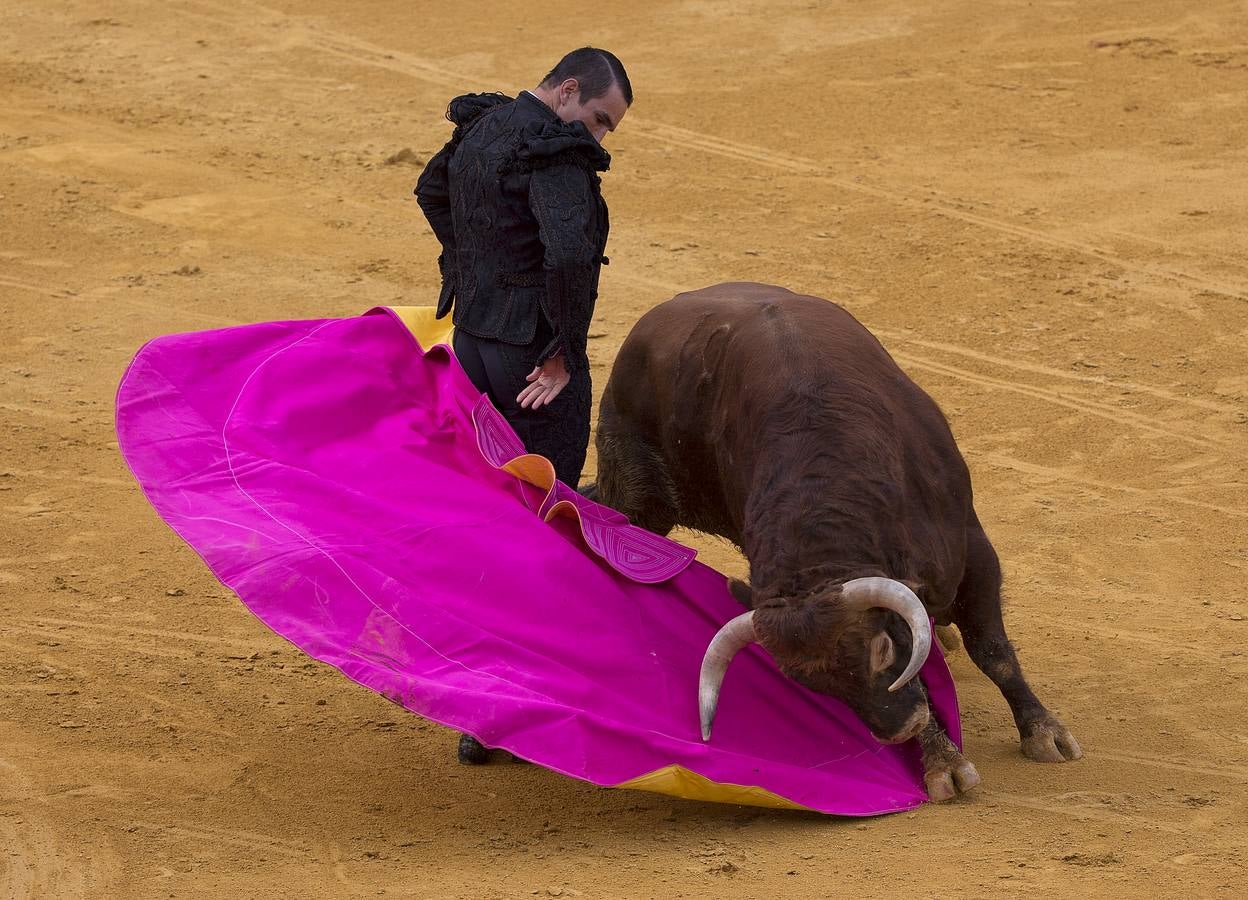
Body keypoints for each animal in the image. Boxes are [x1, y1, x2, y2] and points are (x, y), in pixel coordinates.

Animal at [589, 282, 1078, 798]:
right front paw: (942, 761)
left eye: (882, 650)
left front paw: (1044, 733)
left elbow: (994, 652)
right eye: (818, 687)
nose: (898, 731)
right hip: (640, 496)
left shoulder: (973, 547)